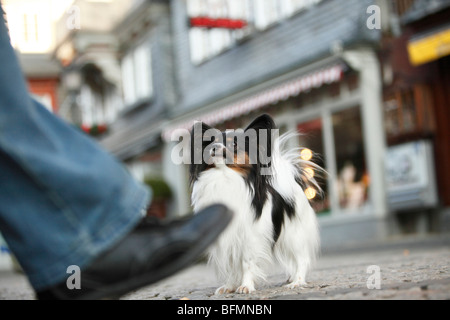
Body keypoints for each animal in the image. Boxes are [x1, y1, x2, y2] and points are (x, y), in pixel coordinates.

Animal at [190, 114, 324, 294]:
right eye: (212, 142)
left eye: (234, 144)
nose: (215, 147)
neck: (224, 176)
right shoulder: (226, 238)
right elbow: (231, 266)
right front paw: (229, 286)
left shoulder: (249, 236)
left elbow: (247, 262)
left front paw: (245, 286)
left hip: (294, 235)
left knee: (302, 258)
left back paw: (297, 281)